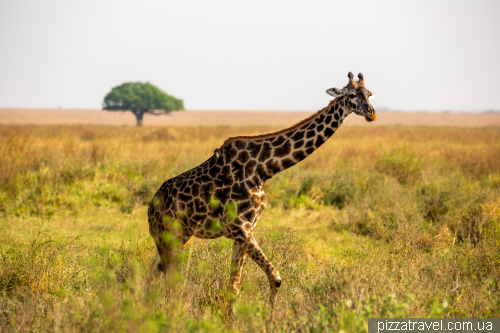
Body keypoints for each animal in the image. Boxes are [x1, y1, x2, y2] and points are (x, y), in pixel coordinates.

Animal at [147, 70, 376, 314]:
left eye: (369, 93)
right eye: (351, 95)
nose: (372, 113)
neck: (263, 169)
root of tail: (150, 206)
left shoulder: (245, 229)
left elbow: (234, 286)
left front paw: (232, 318)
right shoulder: (238, 227)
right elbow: (275, 277)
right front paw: (268, 316)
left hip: (179, 237)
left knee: (153, 274)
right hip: (168, 235)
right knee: (168, 277)